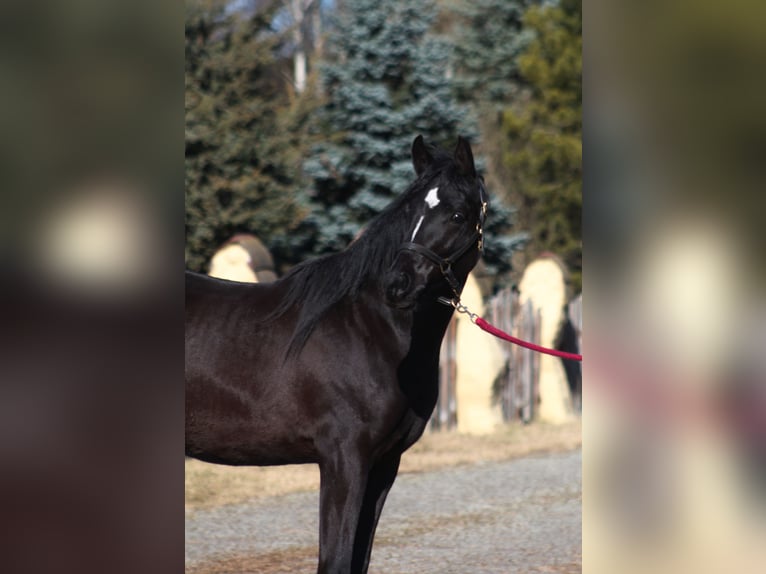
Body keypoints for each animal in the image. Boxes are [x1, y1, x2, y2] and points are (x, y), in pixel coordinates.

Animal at [185, 135, 488, 574]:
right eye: (410, 211)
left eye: (458, 214)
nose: (398, 285)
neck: (369, 328)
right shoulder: (343, 459)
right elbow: (336, 559)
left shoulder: (383, 464)